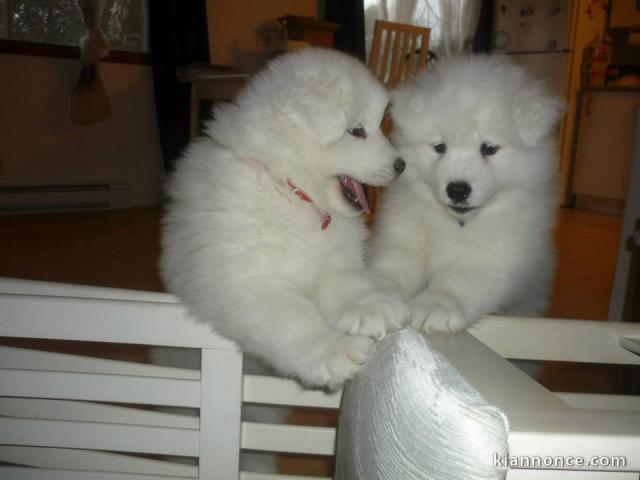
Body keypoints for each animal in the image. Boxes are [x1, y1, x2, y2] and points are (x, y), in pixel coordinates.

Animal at [161, 48, 410, 388]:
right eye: (357, 130)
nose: (401, 165)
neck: (291, 189)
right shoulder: (244, 282)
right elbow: (294, 317)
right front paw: (335, 351)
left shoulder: (330, 261)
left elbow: (347, 282)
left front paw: (372, 306)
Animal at [368, 55, 564, 334]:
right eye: (439, 147)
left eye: (489, 148)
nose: (458, 189)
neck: (457, 223)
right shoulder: (403, 240)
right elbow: (392, 268)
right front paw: (372, 299)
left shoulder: (496, 256)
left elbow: (458, 278)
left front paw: (434, 305)